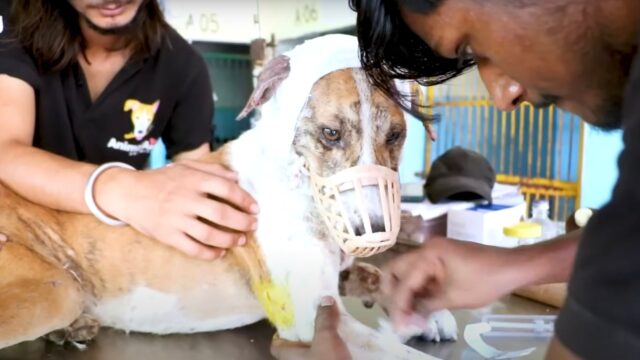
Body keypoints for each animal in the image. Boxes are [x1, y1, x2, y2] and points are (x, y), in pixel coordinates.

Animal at [0, 35, 456, 358]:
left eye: (395, 135)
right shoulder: (310, 318)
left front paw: (430, 312)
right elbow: (401, 354)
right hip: (58, 289)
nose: (375, 231)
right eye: (330, 133)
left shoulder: (338, 274)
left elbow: (379, 275)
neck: (298, 180)